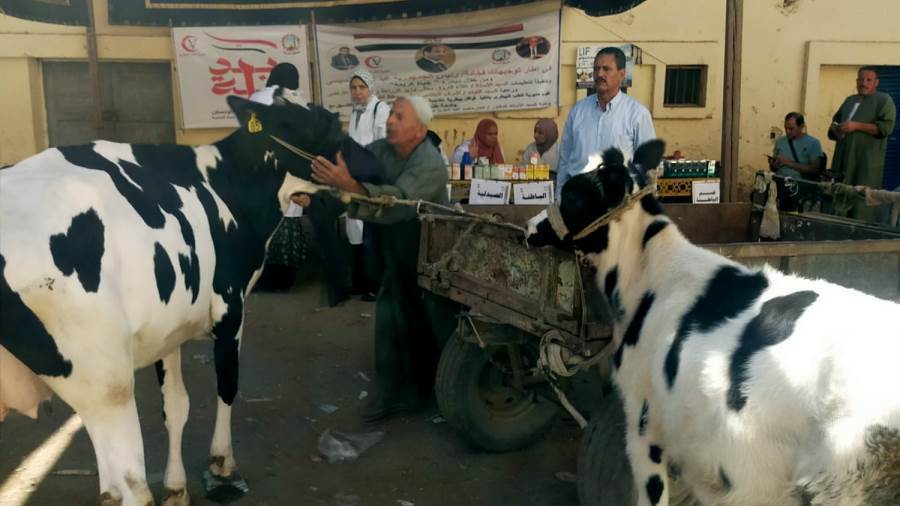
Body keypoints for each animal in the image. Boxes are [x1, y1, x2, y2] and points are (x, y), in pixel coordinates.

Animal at [0, 91, 344, 506]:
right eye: (326, 123)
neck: (226, 184)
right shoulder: (230, 309)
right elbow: (227, 384)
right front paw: (223, 465)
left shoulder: (169, 329)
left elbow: (176, 405)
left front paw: (177, 487)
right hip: (105, 381)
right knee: (128, 485)